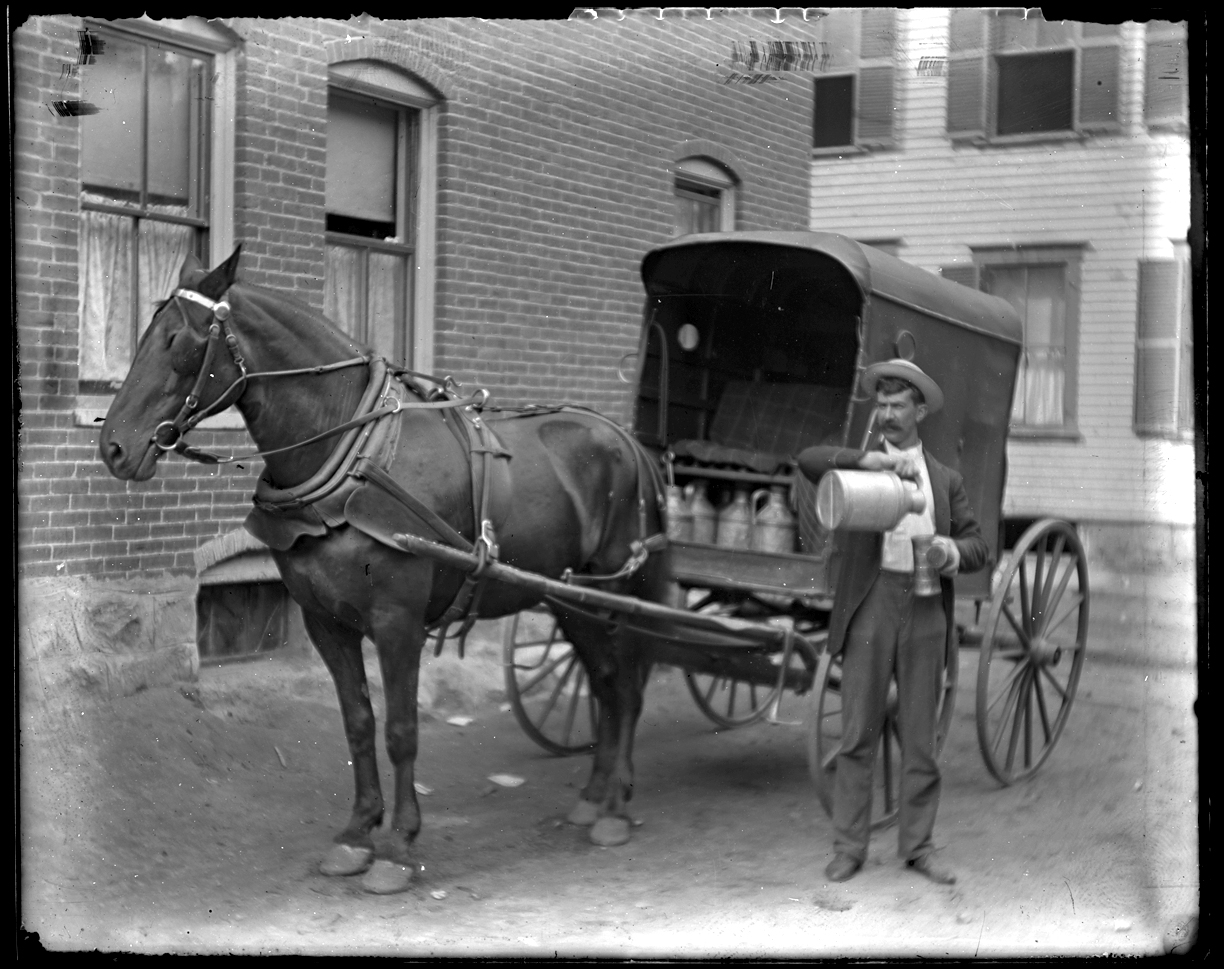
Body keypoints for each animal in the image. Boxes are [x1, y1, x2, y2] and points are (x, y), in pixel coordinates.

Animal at [97, 248, 670, 895]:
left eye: (178, 341)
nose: (113, 446)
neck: (353, 458)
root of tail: (628, 441)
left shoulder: (398, 623)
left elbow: (400, 730)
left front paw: (398, 846)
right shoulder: (326, 622)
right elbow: (358, 722)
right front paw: (357, 833)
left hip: (613, 593)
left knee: (624, 685)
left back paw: (615, 807)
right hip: (567, 599)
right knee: (604, 681)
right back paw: (595, 797)